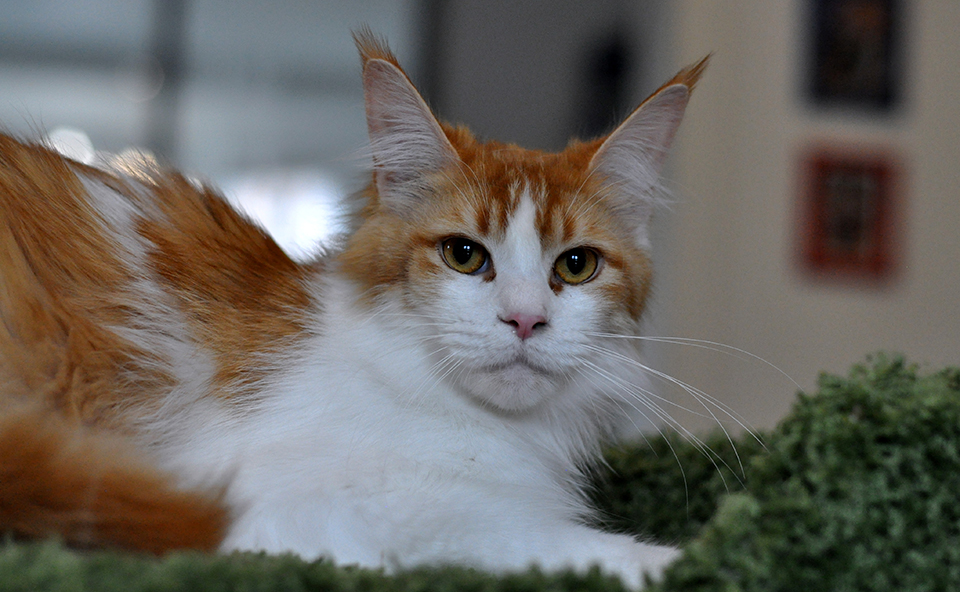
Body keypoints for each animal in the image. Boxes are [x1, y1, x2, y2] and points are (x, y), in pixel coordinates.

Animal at [0, 31, 704, 588]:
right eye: (465, 255)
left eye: (576, 265)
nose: (526, 320)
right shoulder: (318, 504)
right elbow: (558, 545)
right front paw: (681, 560)